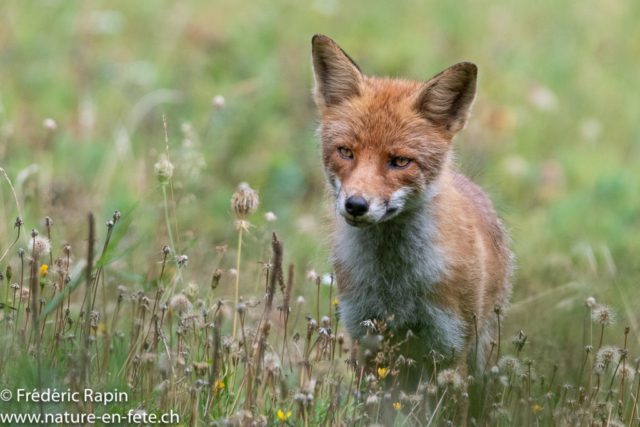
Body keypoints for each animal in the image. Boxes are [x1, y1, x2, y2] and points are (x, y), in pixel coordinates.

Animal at [312, 33, 516, 422]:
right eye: (346, 152)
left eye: (399, 161)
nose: (355, 205)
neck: (395, 285)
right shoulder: (366, 339)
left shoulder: (450, 347)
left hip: (480, 355)